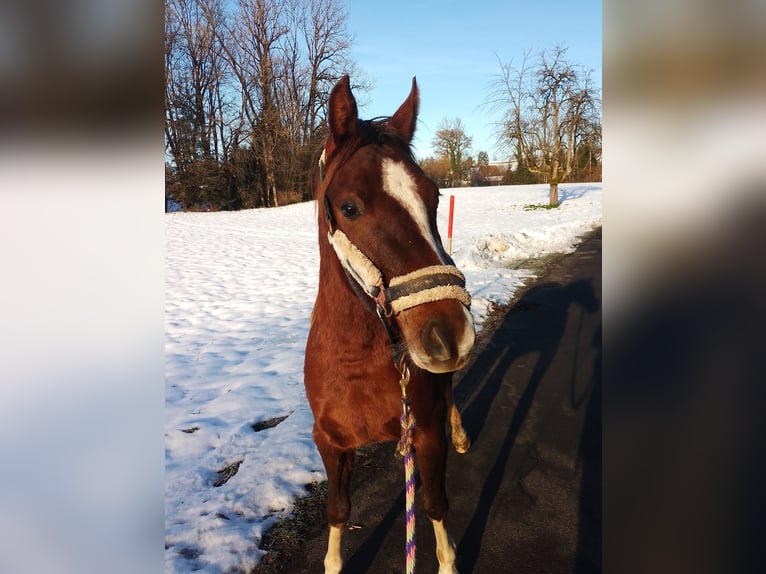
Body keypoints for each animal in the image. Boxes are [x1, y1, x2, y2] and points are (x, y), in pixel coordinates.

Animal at [304, 76, 474, 574]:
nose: (447, 334)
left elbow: (434, 506)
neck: (355, 360)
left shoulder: (429, 432)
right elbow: (338, 512)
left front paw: (447, 561)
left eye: (434, 196)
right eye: (349, 207)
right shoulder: (330, 443)